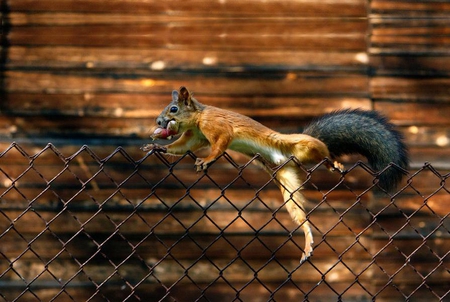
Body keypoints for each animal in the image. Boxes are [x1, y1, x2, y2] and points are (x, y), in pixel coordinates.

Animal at [142, 85, 410, 262]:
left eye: (173, 108)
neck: (199, 117)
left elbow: (220, 145)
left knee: (325, 155)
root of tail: (288, 157)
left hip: (306, 147)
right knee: (300, 213)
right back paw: (307, 240)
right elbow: (181, 147)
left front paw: (206, 160)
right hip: (288, 181)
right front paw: (157, 147)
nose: (158, 122)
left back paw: (333, 163)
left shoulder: (218, 128)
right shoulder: (195, 136)